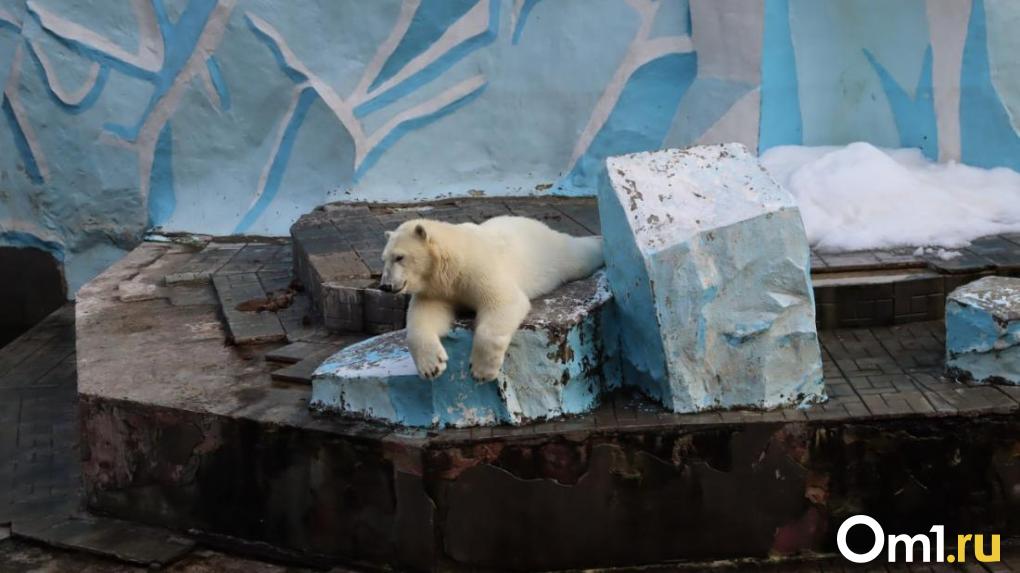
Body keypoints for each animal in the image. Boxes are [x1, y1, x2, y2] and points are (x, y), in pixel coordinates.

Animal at [383, 216, 603, 381]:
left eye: (399, 257)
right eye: (384, 259)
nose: (385, 285)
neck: (452, 259)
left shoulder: (476, 269)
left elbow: (503, 300)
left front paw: (481, 371)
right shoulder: (437, 289)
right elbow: (424, 315)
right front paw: (432, 367)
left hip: (551, 254)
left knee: (577, 256)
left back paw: (599, 242)